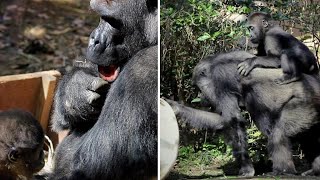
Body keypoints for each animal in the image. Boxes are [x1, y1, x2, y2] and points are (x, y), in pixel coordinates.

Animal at [49, 0, 158, 179]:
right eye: (100, 17)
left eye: (111, 20)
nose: (94, 39)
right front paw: (74, 91)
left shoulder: (143, 66)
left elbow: (95, 163)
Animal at [169, 50, 320, 176]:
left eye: (200, 88)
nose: (200, 96)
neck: (213, 65)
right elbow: (224, 121)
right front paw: (176, 108)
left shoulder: (219, 80)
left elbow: (233, 120)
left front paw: (247, 168)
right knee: (307, 136)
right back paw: (314, 170)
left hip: (305, 103)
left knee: (279, 132)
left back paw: (283, 171)